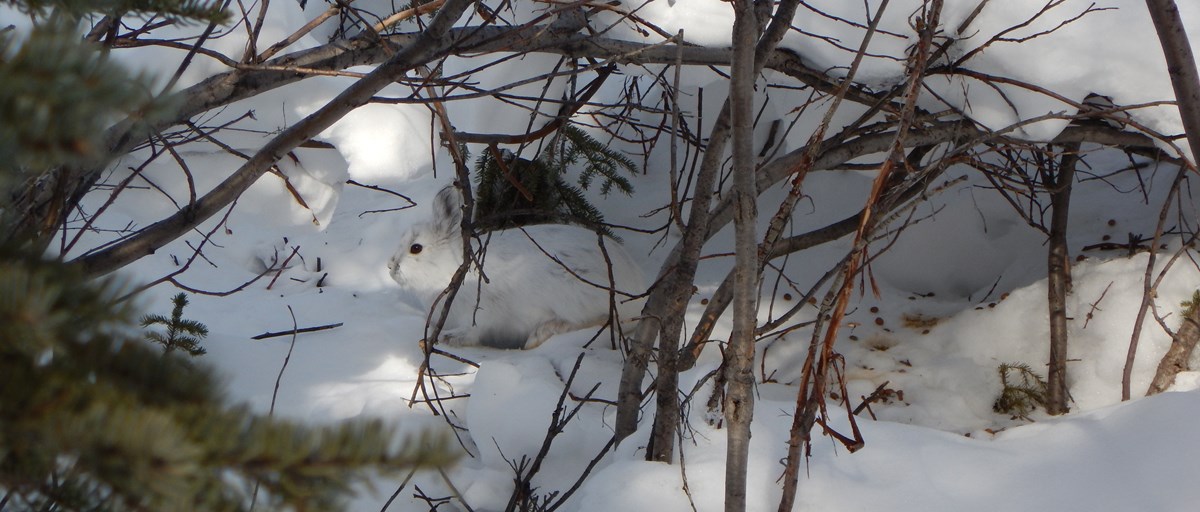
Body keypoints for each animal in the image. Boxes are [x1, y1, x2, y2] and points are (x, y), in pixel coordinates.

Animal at [388, 185, 646, 349]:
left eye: (416, 248)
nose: (391, 267)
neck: (449, 266)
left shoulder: (482, 309)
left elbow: (475, 327)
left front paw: (451, 338)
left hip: (573, 292)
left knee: (599, 321)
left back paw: (538, 335)